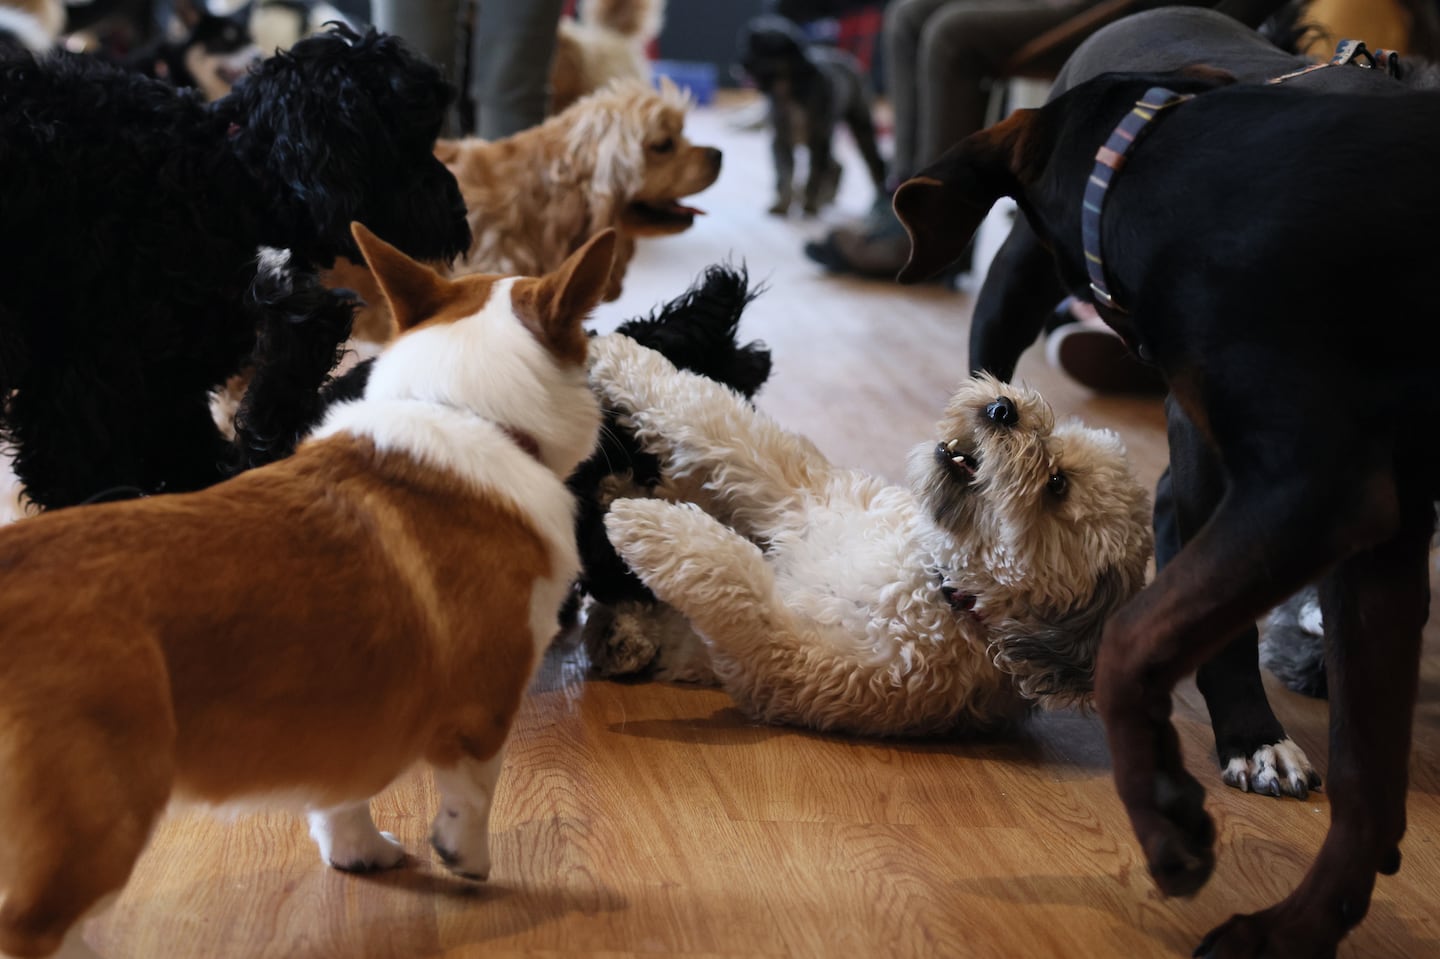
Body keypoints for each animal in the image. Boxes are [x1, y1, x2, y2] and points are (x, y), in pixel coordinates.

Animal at [0, 226, 613, 956]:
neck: (465, 410)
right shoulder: (483, 705)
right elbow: (473, 794)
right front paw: (466, 858)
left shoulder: (349, 705)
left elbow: (340, 800)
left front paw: (360, 853)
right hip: (98, 823)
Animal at [578, 332, 1152, 734]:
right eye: (1058, 432)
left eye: (1057, 485)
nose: (1002, 408)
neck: (935, 577)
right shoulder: (801, 491)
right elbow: (710, 416)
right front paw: (613, 352)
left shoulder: (791, 661)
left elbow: (736, 583)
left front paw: (649, 527)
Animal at [737, 12, 881, 214]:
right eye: (746, 44)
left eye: (763, 48)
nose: (739, 65)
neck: (791, 92)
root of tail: (848, 59)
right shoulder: (781, 141)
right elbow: (784, 176)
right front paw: (782, 205)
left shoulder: (818, 141)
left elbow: (814, 176)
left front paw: (810, 205)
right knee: (836, 165)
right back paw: (828, 197)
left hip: (860, 126)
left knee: (870, 162)